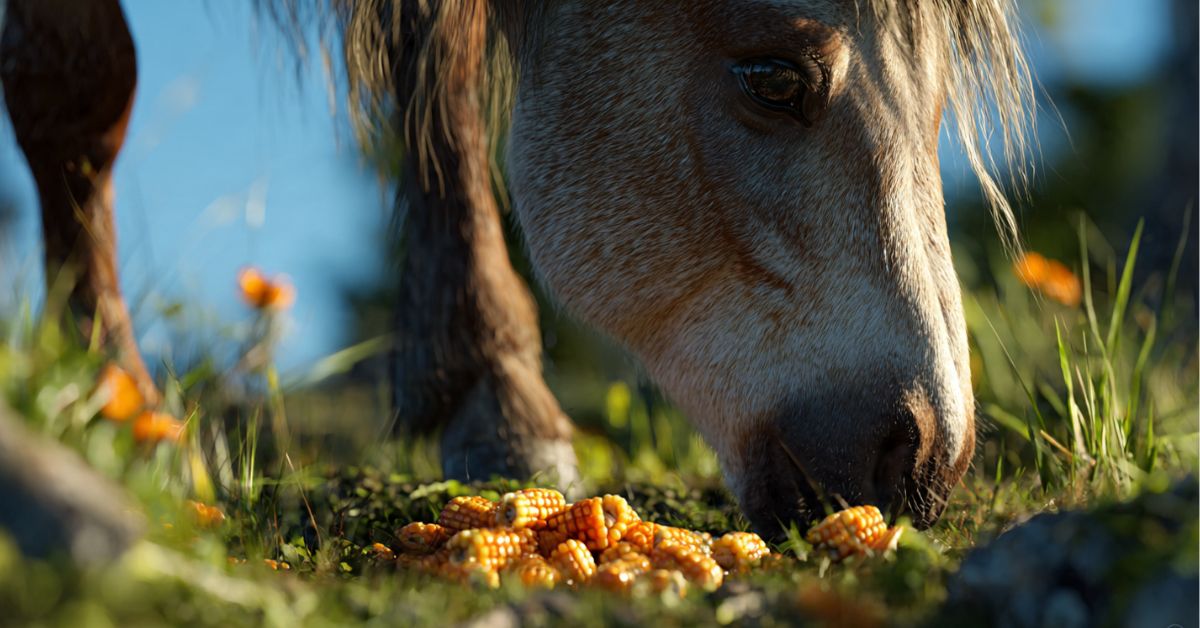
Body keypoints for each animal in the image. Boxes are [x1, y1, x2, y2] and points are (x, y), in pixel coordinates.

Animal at [1, 0, 1033, 538]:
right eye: (773, 77)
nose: (923, 460)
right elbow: (76, 78)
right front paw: (110, 400)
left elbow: (437, 68)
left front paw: (496, 399)